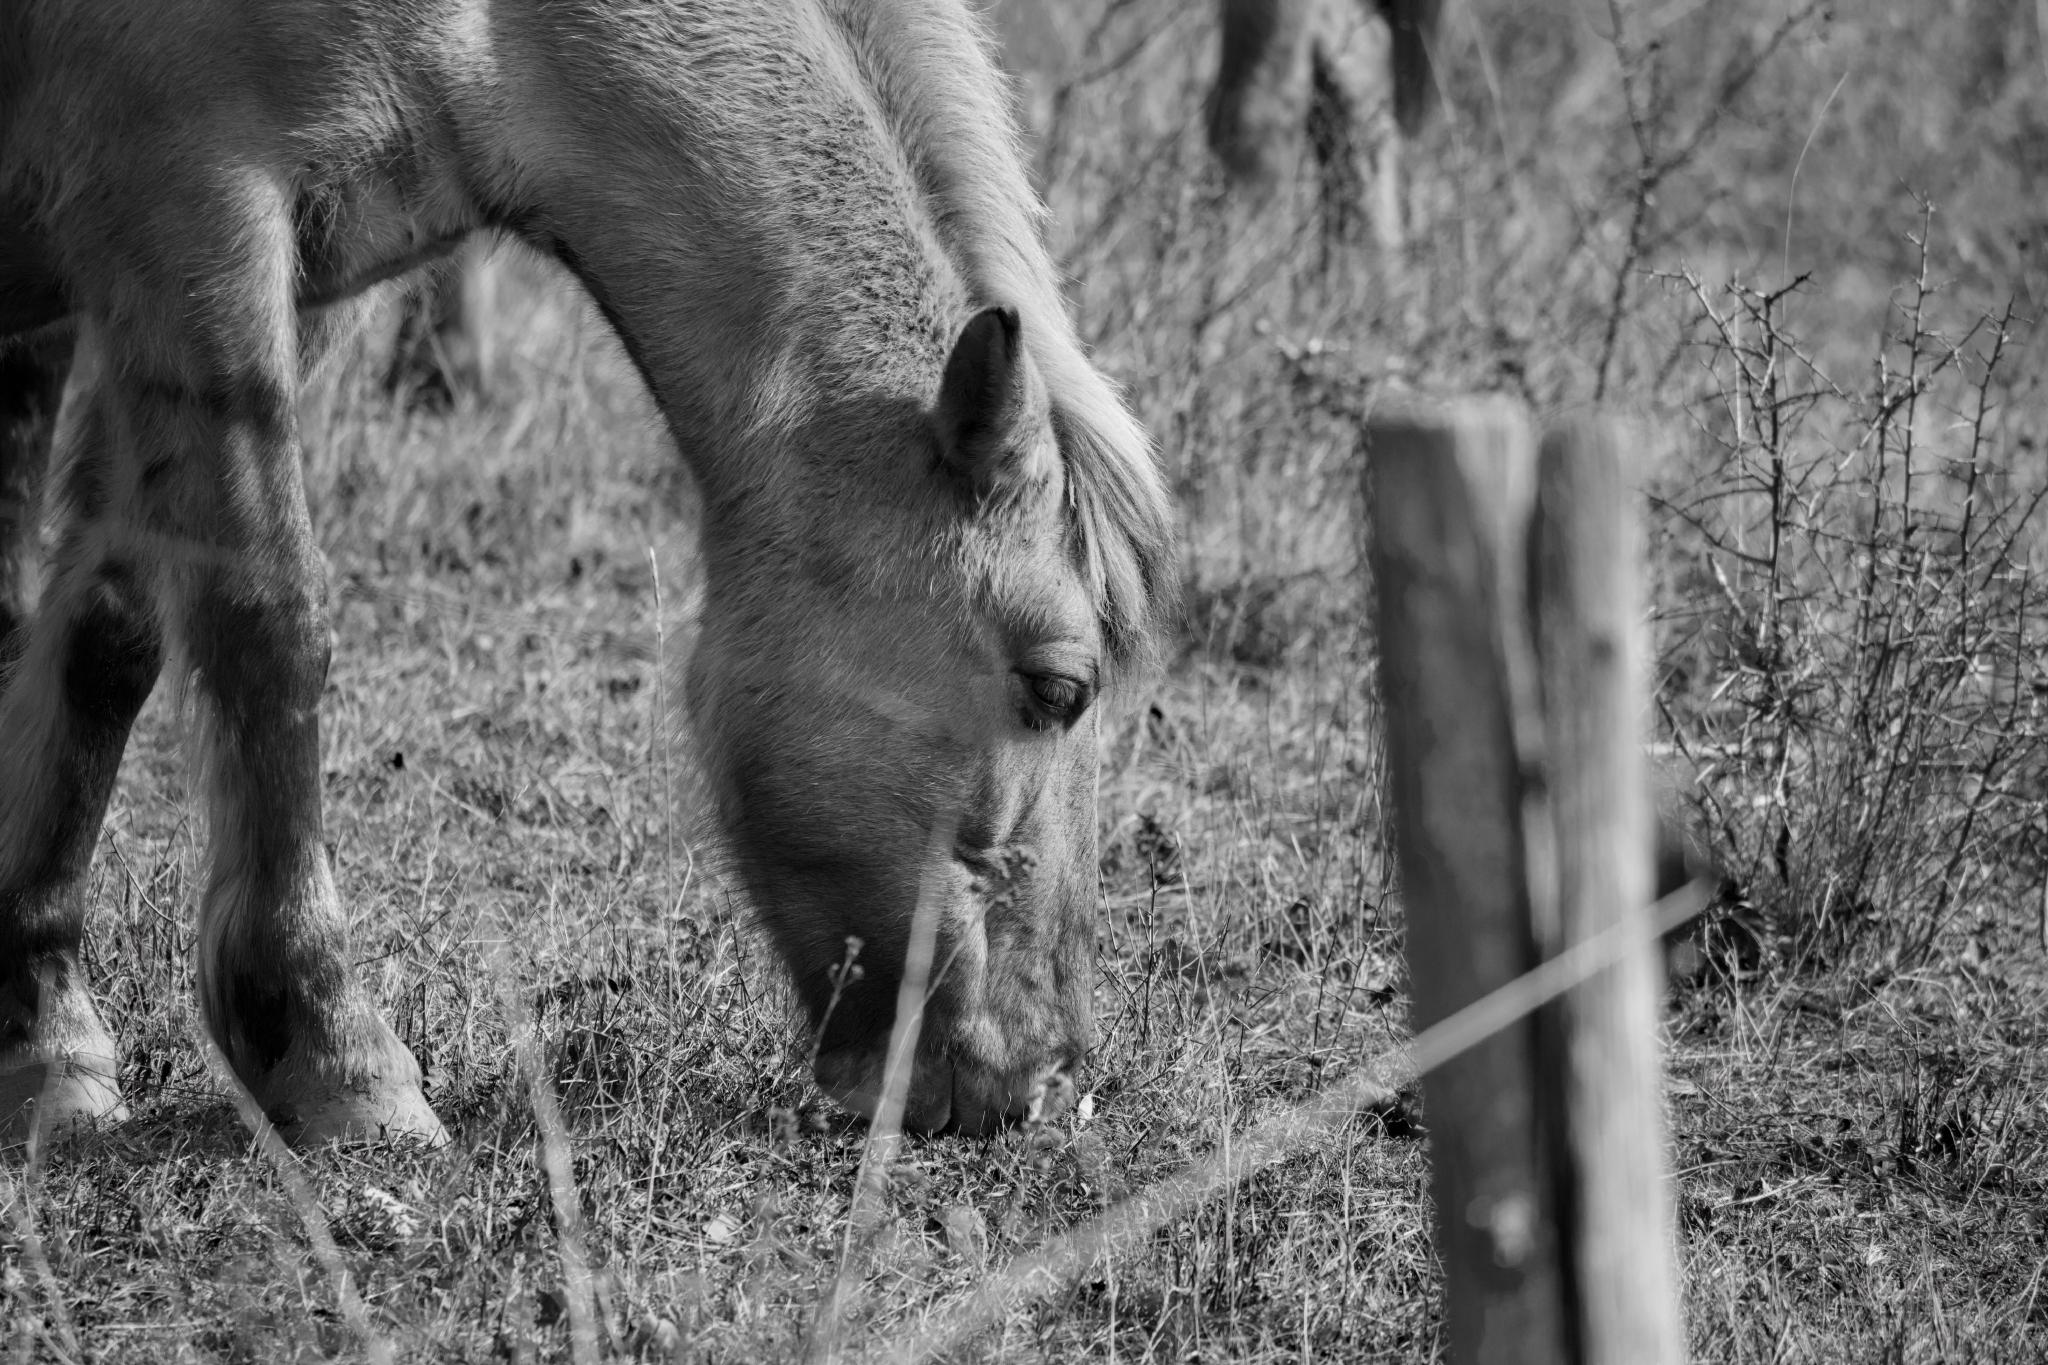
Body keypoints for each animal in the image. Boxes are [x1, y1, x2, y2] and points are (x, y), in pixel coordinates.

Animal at [0, 0, 1176, 1148]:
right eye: (1057, 689)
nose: (1037, 1078)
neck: (489, 33)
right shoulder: (192, 215)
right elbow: (269, 630)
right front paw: (329, 1050)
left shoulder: (265, 285)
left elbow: (108, 636)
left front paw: (42, 1028)